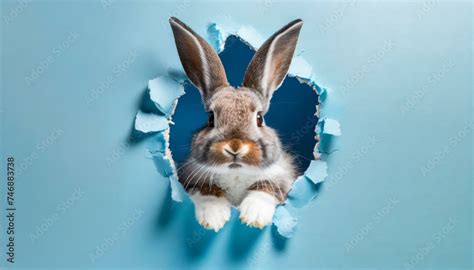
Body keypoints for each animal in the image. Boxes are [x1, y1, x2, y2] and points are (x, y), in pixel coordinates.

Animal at [169, 17, 304, 232]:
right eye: (210, 118)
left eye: (259, 118)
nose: (234, 146)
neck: (236, 173)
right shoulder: (192, 178)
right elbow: (207, 192)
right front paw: (214, 219)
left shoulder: (281, 178)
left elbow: (264, 190)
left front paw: (253, 217)